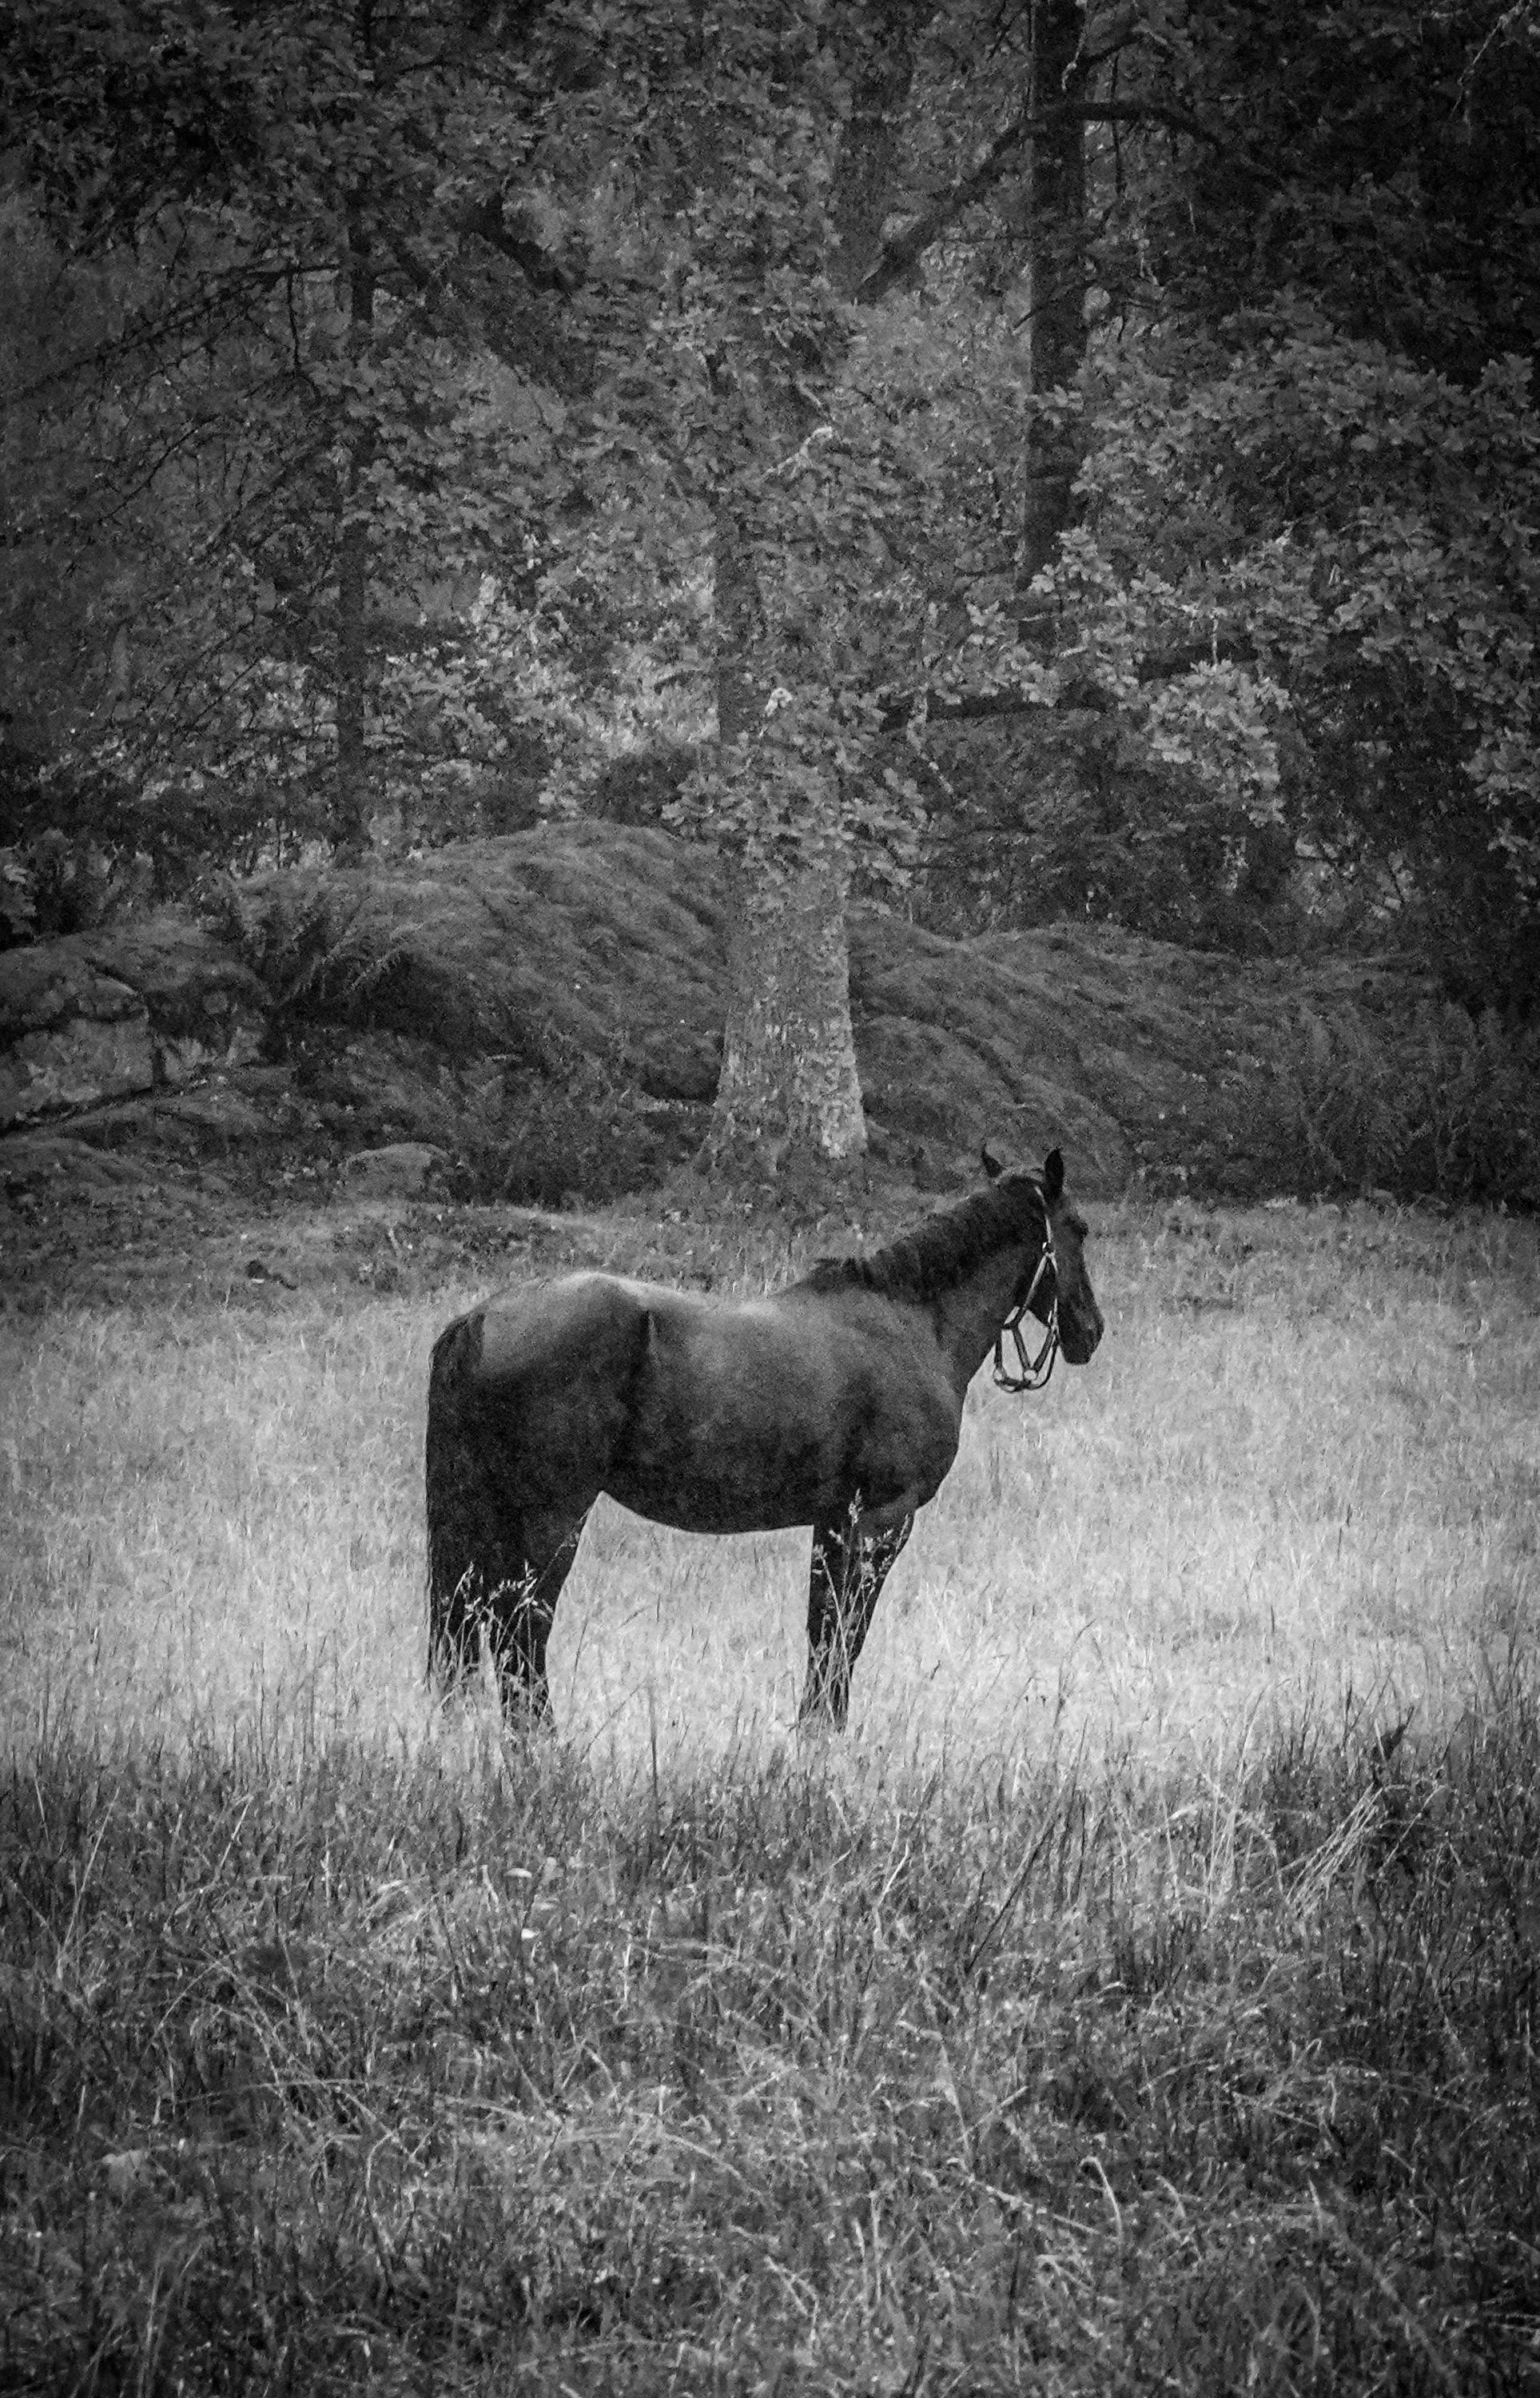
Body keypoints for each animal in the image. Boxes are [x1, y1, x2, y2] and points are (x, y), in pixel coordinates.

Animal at [420, 1141, 1098, 1727]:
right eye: (1080, 1227)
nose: (1090, 1330)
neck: (908, 1324)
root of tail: (480, 1319)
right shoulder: (882, 1522)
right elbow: (847, 1634)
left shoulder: (834, 1523)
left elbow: (822, 1633)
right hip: (551, 1517)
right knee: (518, 1630)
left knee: (468, 1620)